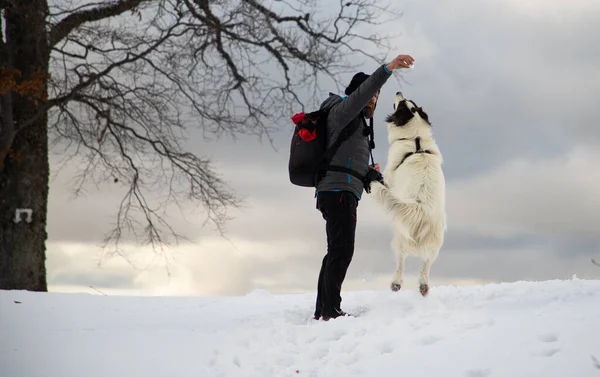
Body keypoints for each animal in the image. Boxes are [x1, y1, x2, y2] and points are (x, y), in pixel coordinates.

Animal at [370, 91, 446, 296]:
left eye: (401, 103)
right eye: (409, 102)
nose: (399, 91)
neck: (415, 139)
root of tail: (421, 209)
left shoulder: (389, 176)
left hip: (399, 237)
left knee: (401, 262)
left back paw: (396, 284)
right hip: (435, 244)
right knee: (426, 266)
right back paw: (424, 286)